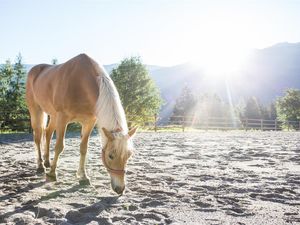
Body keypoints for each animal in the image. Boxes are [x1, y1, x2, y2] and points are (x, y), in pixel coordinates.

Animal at [25, 53, 137, 194]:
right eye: (110, 156)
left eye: (128, 155)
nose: (120, 189)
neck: (80, 82)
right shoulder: (63, 118)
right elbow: (59, 146)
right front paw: (51, 174)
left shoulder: (89, 122)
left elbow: (84, 148)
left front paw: (83, 176)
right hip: (37, 111)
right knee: (38, 137)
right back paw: (40, 166)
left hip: (54, 116)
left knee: (48, 133)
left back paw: (47, 162)